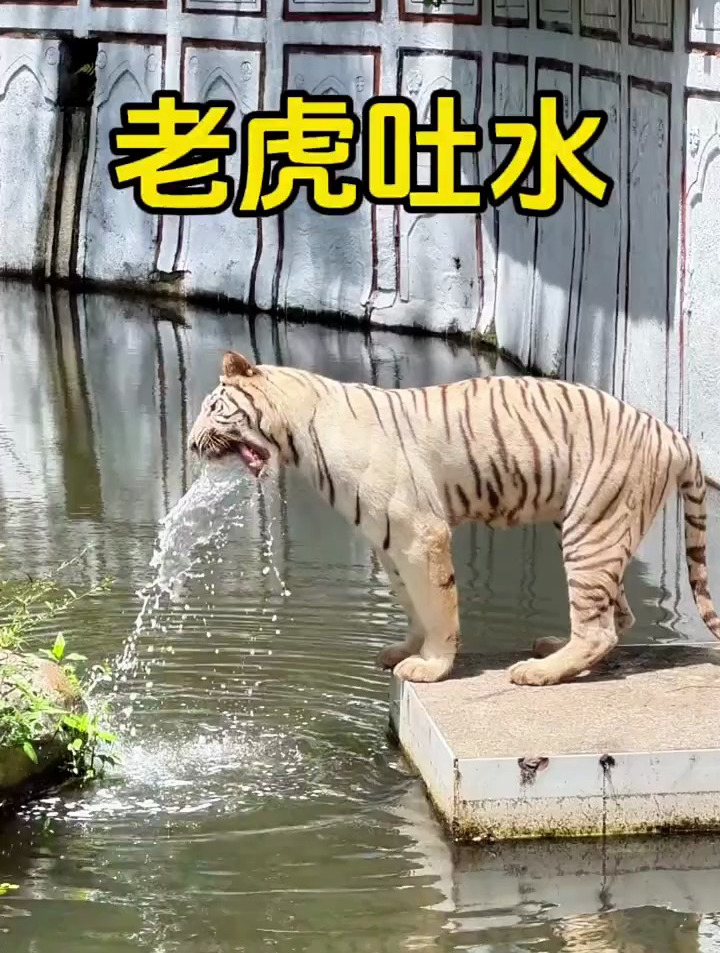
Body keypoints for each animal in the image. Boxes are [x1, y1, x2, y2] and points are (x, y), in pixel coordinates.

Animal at [187, 349, 720, 687]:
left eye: (214, 408)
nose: (191, 445)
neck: (300, 433)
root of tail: (673, 433)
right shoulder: (387, 541)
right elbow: (412, 602)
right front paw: (406, 650)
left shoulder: (420, 532)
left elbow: (438, 604)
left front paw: (432, 667)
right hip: (597, 529)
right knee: (618, 615)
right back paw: (553, 649)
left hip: (591, 528)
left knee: (600, 626)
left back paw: (537, 672)